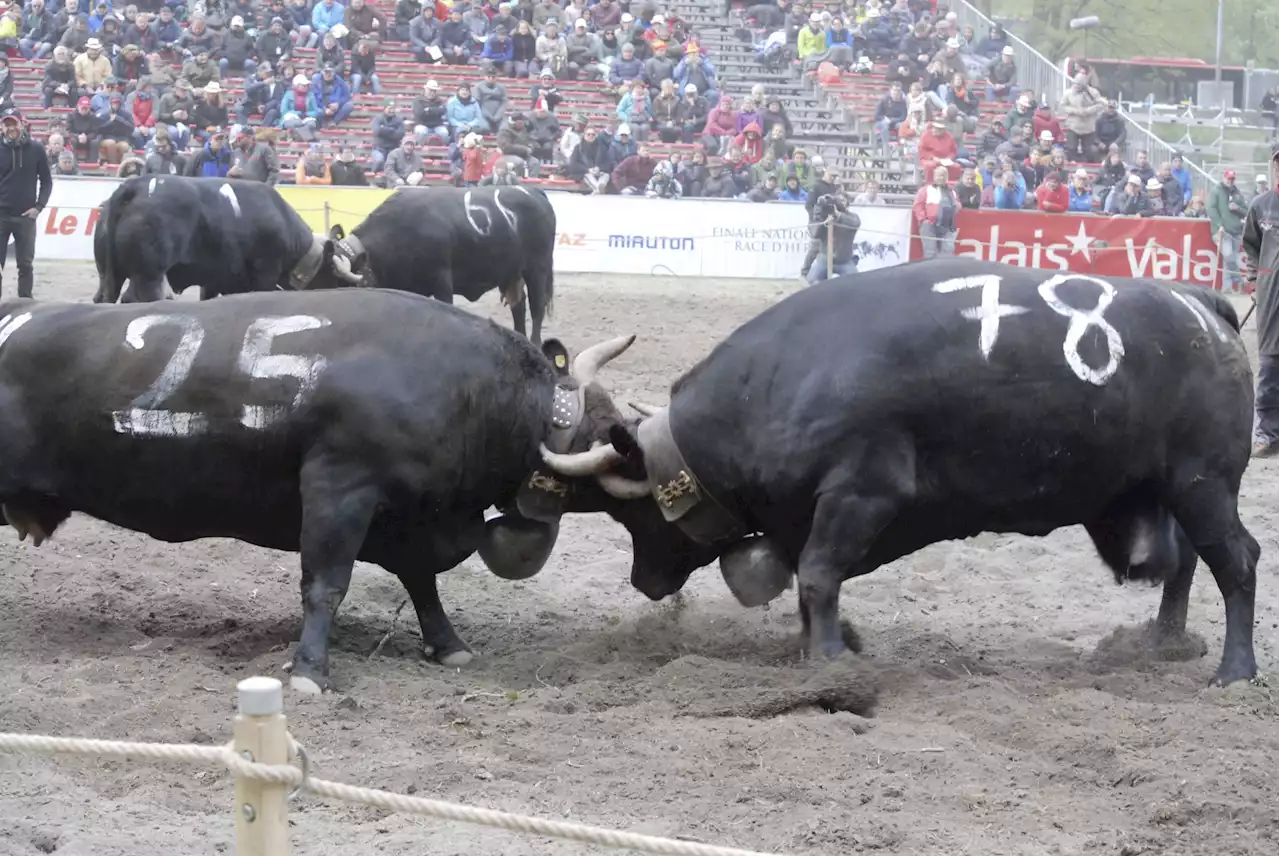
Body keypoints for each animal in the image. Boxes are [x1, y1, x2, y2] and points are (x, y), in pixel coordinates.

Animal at [0, 286, 640, 696]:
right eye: (607, 433)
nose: (643, 451)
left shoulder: (409, 516)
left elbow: (422, 584)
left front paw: (447, 643)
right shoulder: (340, 488)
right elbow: (326, 585)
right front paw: (310, 670)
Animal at [93, 174, 340, 303]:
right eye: (331, 273)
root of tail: (135, 186)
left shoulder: (215, 280)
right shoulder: (265, 273)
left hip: (109, 275)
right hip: (148, 276)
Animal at [312, 185, 558, 342]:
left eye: (329, 281)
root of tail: (533, 192)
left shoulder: (441, 281)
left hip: (537, 269)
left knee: (536, 308)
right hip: (511, 273)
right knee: (519, 306)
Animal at [537, 255, 1259, 685]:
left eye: (635, 511)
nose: (644, 581)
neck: (784, 380)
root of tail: (1203, 307)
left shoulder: (863, 494)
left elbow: (818, 574)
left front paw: (830, 663)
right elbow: (810, 583)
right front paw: (822, 645)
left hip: (1203, 484)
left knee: (1237, 561)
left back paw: (1235, 669)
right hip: (1165, 490)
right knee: (1185, 563)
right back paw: (1162, 643)